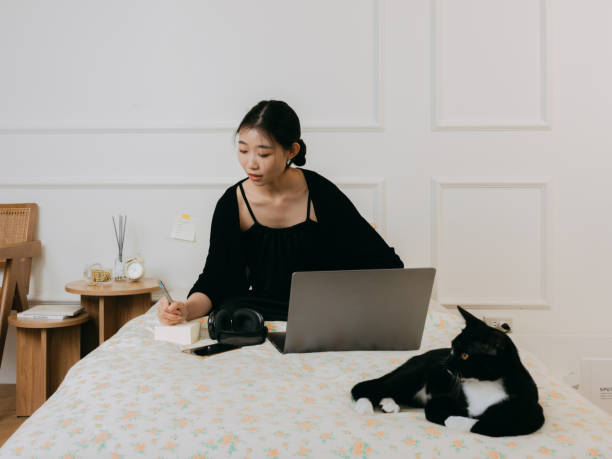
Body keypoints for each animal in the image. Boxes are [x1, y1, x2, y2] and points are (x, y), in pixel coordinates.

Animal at [350, 308, 544, 436]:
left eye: (465, 355)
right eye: (452, 347)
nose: (446, 364)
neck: (482, 385)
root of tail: (418, 356)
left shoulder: (532, 411)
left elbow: (497, 424)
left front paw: (461, 420)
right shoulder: (444, 399)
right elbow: (438, 411)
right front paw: (454, 419)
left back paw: (388, 403)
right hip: (412, 375)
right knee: (367, 388)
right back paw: (365, 405)